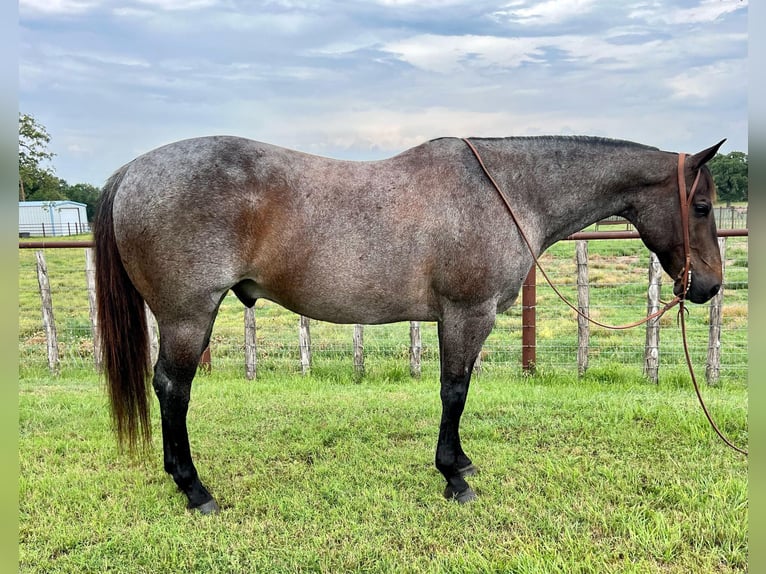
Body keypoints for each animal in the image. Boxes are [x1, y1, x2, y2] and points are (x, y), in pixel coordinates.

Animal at [94, 136, 728, 516]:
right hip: (187, 314)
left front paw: (461, 463)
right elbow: (454, 392)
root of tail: (133, 170)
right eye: (700, 206)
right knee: (173, 388)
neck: (508, 189)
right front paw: (454, 477)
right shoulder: (467, 313)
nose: (709, 285)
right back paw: (194, 489)